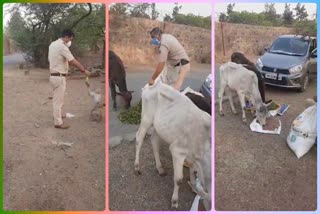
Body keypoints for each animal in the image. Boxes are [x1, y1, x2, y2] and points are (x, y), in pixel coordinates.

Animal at [134, 81, 211, 209]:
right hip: (146, 118)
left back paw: (160, 168)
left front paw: (193, 184)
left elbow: (192, 168)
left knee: (154, 140)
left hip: (159, 126)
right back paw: (137, 167)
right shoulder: (177, 151)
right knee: (139, 138)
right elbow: (179, 179)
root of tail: (153, 84)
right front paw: (174, 201)